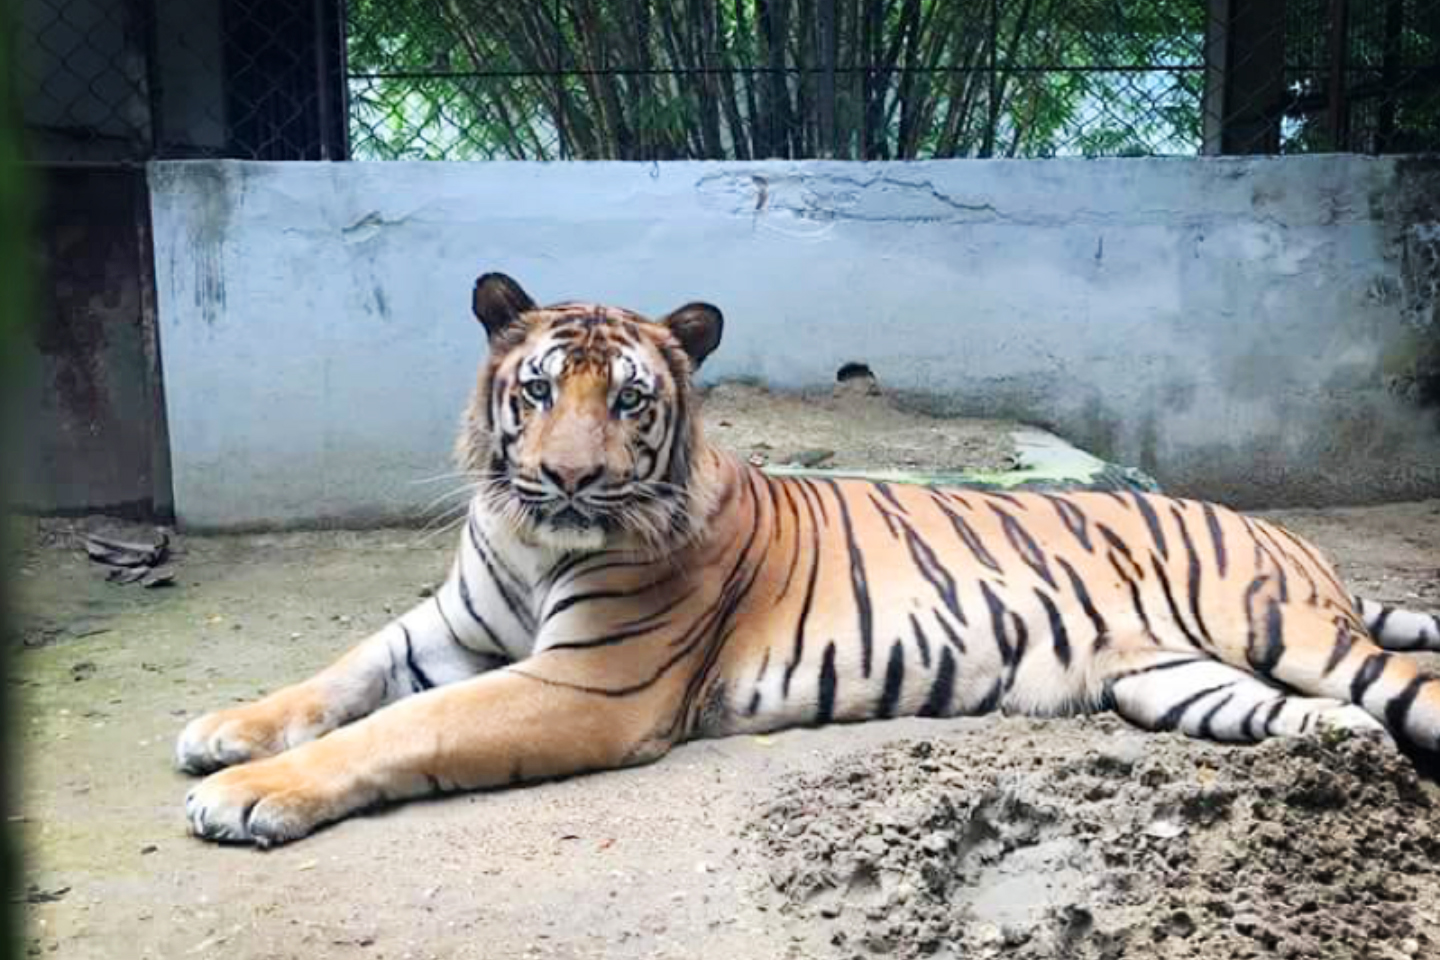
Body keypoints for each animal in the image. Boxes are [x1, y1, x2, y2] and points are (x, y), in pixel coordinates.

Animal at [177, 272, 1440, 846]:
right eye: (537, 391)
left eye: (628, 400)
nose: (572, 480)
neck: (536, 545)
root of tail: (1289, 531)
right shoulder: (448, 629)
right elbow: (342, 676)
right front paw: (224, 730)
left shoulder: (587, 682)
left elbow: (407, 725)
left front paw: (249, 794)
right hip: (1180, 682)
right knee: (1329, 716)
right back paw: (1340, 760)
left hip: (1290, 630)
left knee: (1404, 684)